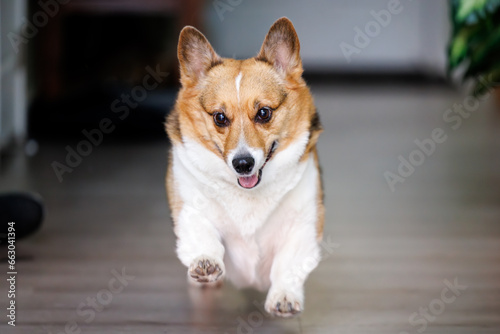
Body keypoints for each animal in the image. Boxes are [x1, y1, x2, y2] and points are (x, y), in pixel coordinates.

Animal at [166, 17, 324, 318]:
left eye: (264, 113)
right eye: (219, 117)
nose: (242, 164)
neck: (249, 194)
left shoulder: (303, 225)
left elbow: (287, 263)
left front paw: (284, 296)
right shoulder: (190, 208)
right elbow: (203, 235)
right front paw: (205, 262)